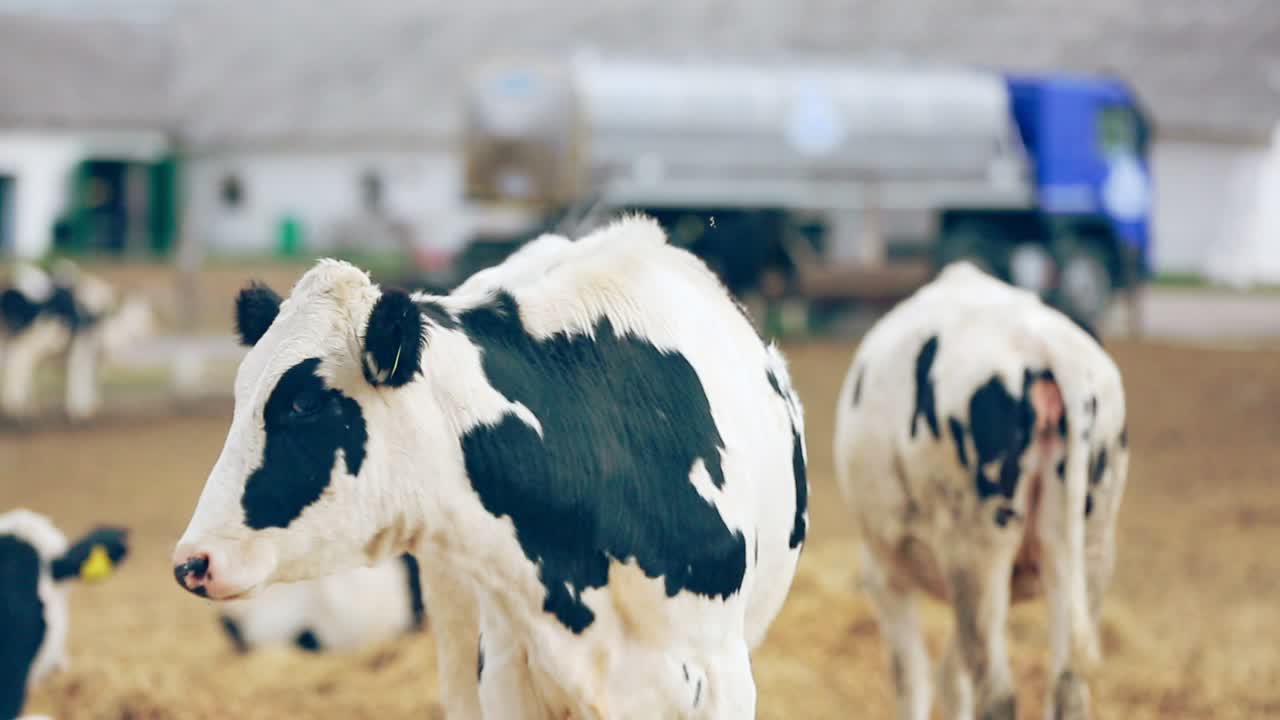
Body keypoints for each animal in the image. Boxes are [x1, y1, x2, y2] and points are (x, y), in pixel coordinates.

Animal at [0, 261, 153, 421]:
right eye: (143, 314)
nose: (152, 327)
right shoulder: (82, 343)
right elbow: (80, 374)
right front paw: (79, 410)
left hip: (11, 338)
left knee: (15, 365)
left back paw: (22, 407)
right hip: (28, 340)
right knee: (18, 365)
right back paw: (16, 408)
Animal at [833, 261, 1128, 720]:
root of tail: (1044, 345)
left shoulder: (885, 571)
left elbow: (913, 679)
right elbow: (951, 677)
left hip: (975, 550)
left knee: (997, 692)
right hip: (1091, 546)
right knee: (1068, 686)